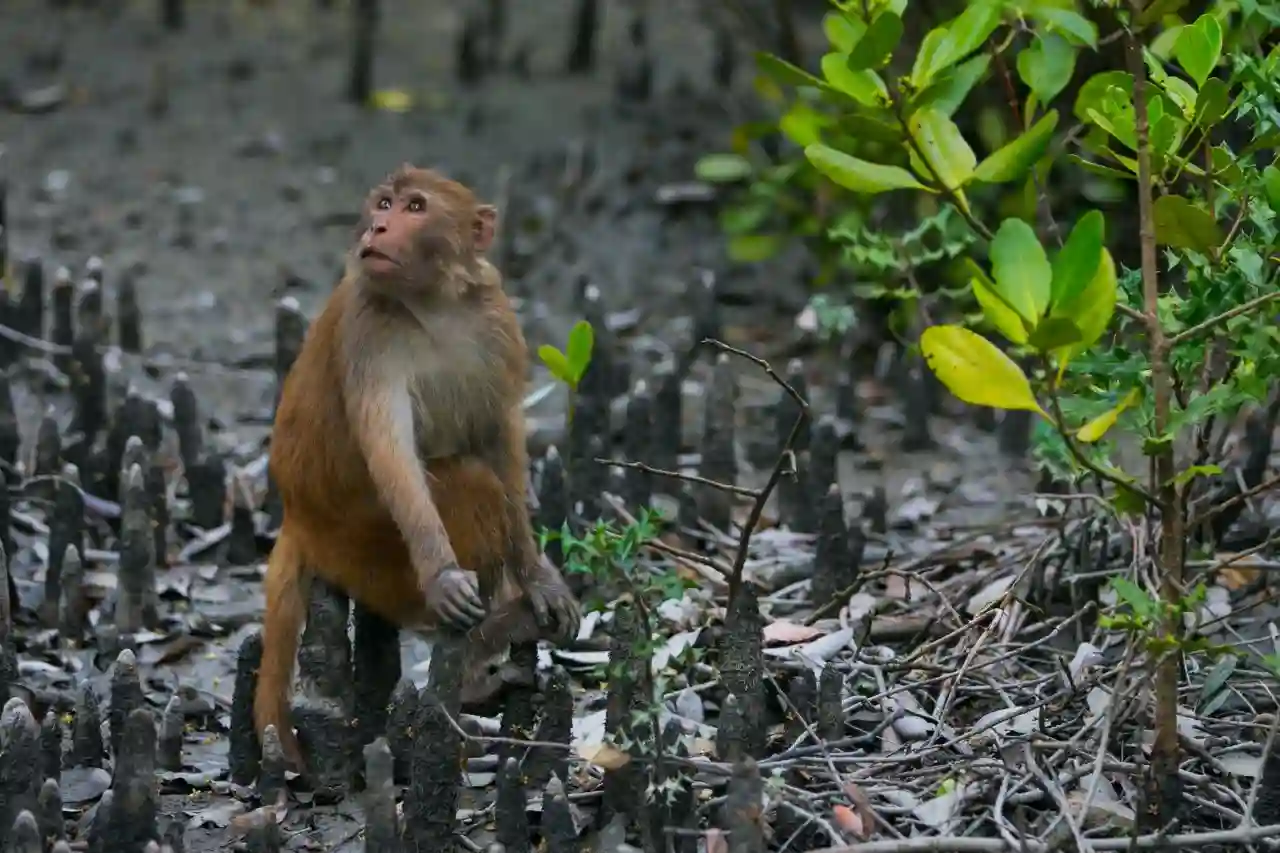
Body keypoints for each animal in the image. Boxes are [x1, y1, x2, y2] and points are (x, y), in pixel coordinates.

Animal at [255, 165, 581, 769]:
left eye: (414, 207)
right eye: (384, 204)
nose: (378, 226)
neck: (434, 305)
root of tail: (297, 517)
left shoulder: (496, 316)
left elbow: (500, 432)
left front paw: (537, 575)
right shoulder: (368, 328)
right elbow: (392, 450)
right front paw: (444, 573)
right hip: (363, 550)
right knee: (470, 485)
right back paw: (482, 650)